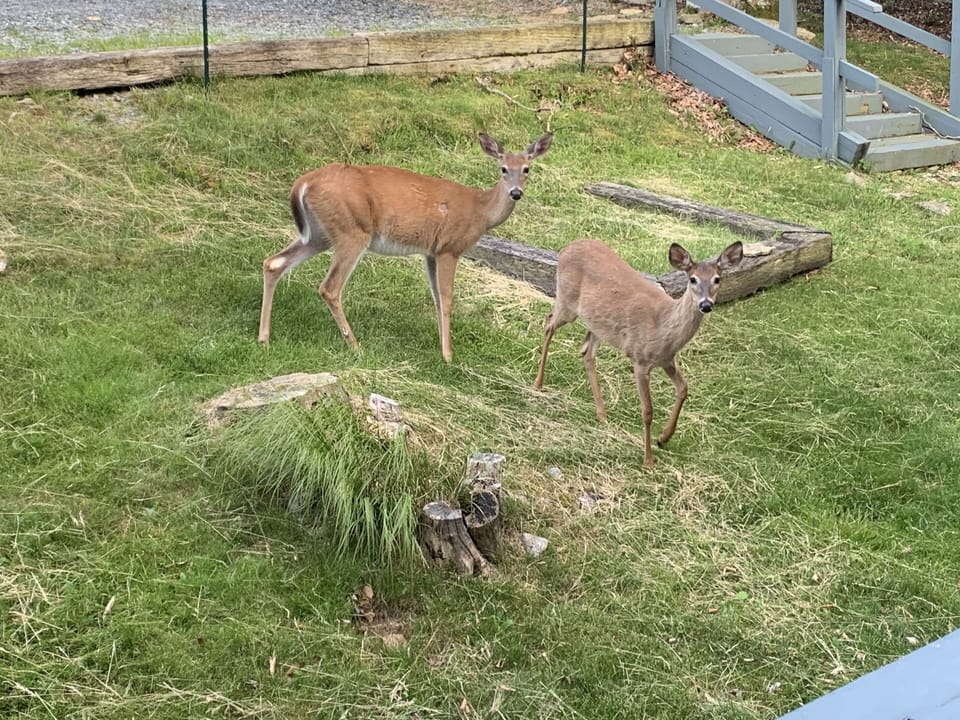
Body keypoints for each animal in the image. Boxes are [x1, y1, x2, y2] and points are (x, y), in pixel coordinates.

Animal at [258, 131, 553, 362]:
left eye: (527, 169)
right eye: (503, 169)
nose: (516, 193)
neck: (480, 212)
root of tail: (303, 183)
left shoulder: (431, 252)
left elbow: (436, 298)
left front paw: (441, 347)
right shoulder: (450, 248)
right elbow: (447, 298)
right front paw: (448, 356)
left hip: (319, 233)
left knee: (273, 263)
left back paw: (264, 338)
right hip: (352, 230)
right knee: (329, 288)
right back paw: (355, 345)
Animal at [533, 238, 744, 468]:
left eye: (717, 279)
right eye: (693, 279)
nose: (706, 305)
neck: (663, 327)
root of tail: (567, 247)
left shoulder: (667, 360)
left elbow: (684, 388)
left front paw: (664, 438)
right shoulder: (640, 360)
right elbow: (648, 411)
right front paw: (648, 460)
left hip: (598, 324)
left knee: (586, 352)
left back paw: (602, 414)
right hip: (567, 300)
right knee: (548, 323)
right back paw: (538, 384)